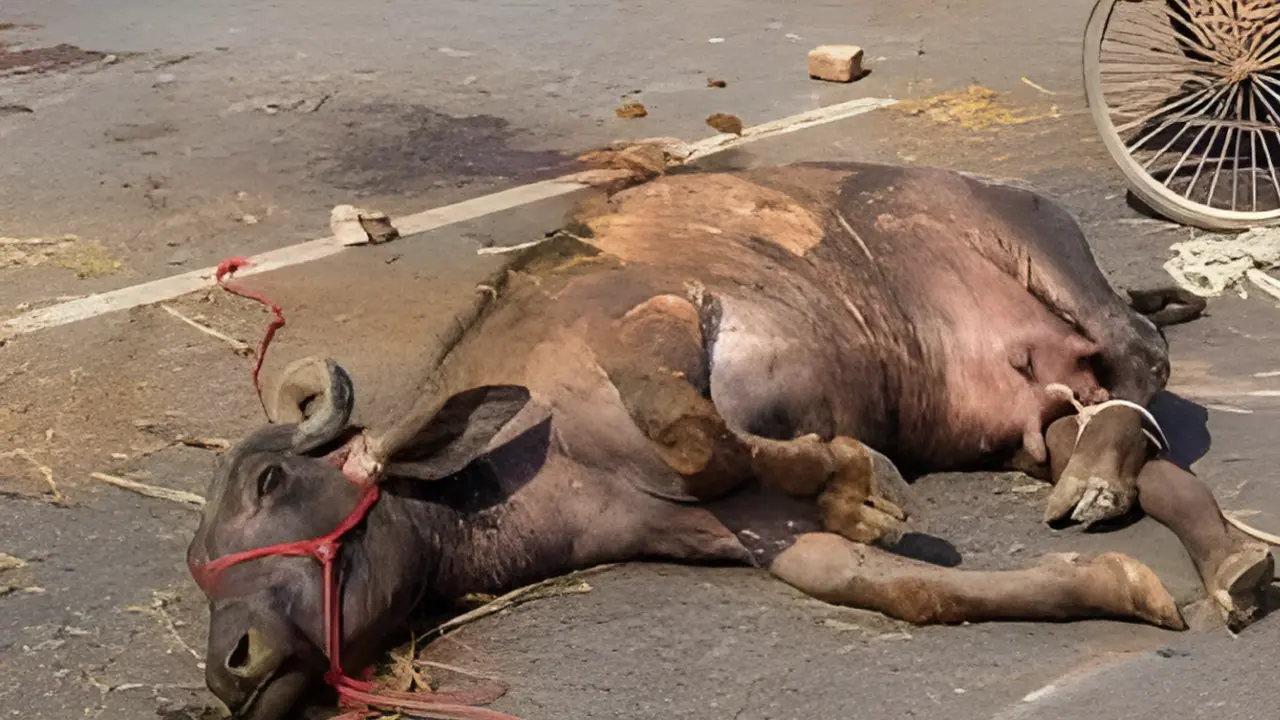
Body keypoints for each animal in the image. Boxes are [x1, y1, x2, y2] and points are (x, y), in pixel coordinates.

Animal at [183, 162, 1269, 717]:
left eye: (273, 481)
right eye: (198, 566)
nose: (229, 664)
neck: (544, 456)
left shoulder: (664, 322)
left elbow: (688, 427)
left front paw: (859, 477)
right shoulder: (741, 531)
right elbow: (892, 587)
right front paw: (1110, 588)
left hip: (1051, 258)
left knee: (1139, 356)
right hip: (1034, 408)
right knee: (1140, 450)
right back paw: (1206, 550)